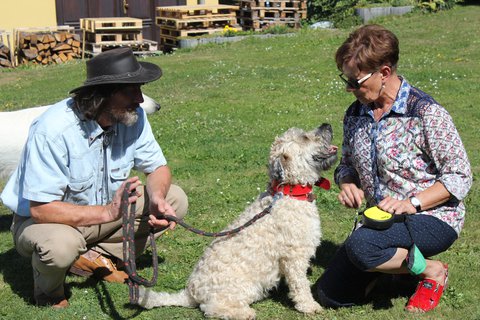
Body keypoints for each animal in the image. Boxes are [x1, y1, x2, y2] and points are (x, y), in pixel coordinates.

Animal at [136, 124, 338, 318]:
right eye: (304, 137)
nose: (327, 125)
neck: (289, 192)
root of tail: (190, 292)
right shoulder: (294, 256)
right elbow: (300, 284)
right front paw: (309, 306)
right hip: (239, 288)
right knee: (211, 308)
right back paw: (244, 313)